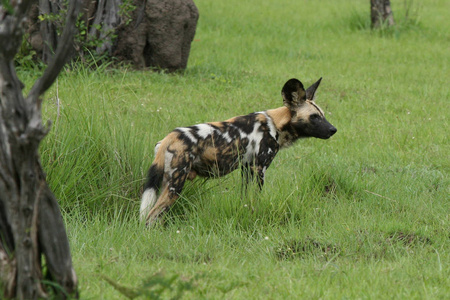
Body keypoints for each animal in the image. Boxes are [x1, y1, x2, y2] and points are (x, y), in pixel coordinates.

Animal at [142, 78, 338, 224]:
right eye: (314, 117)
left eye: (323, 115)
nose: (333, 129)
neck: (275, 124)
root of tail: (170, 137)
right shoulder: (259, 169)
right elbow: (256, 198)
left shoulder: (246, 168)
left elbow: (245, 199)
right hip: (175, 185)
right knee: (151, 216)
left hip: (166, 183)